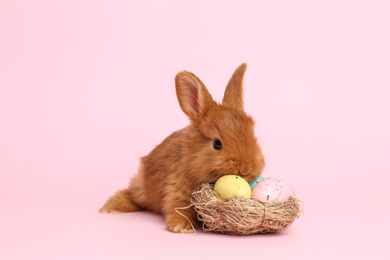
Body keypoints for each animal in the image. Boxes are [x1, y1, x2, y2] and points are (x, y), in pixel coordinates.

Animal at [99, 63, 266, 234]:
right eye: (217, 144)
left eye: (253, 136)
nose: (246, 168)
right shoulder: (177, 189)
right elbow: (179, 208)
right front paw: (181, 227)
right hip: (141, 189)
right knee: (131, 195)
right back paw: (110, 207)